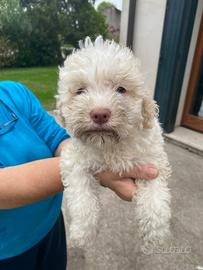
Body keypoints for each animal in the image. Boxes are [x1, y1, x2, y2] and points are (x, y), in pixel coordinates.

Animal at [56, 37, 171, 248]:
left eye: (121, 89)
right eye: (80, 91)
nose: (99, 114)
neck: (110, 144)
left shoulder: (152, 162)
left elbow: (155, 198)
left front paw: (156, 234)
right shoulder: (75, 161)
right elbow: (82, 198)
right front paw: (82, 232)